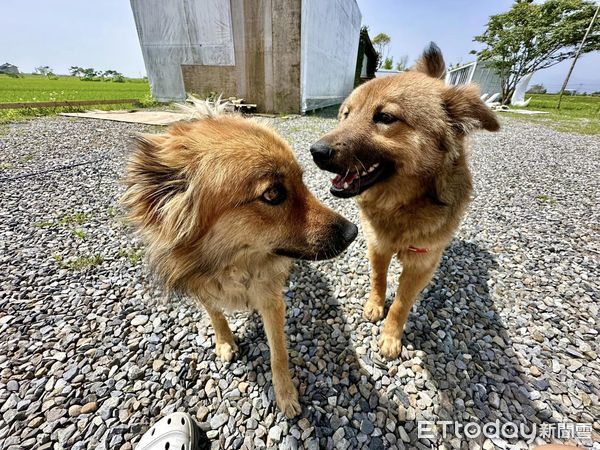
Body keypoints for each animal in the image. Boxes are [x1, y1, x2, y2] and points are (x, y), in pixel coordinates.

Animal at [120, 100, 356, 416]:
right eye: (273, 193)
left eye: (302, 181)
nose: (353, 232)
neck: (232, 265)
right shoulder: (201, 285)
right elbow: (215, 315)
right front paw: (224, 342)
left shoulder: (270, 299)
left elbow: (278, 353)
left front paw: (285, 394)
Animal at [312, 42, 500, 358]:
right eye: (346, 114)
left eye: (385, 118)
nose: (316, 151)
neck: (402, 205)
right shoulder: (377, 244)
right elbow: (378, 278)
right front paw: (375, 305)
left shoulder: (421, 263)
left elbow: (401, 303)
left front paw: (390, 336)